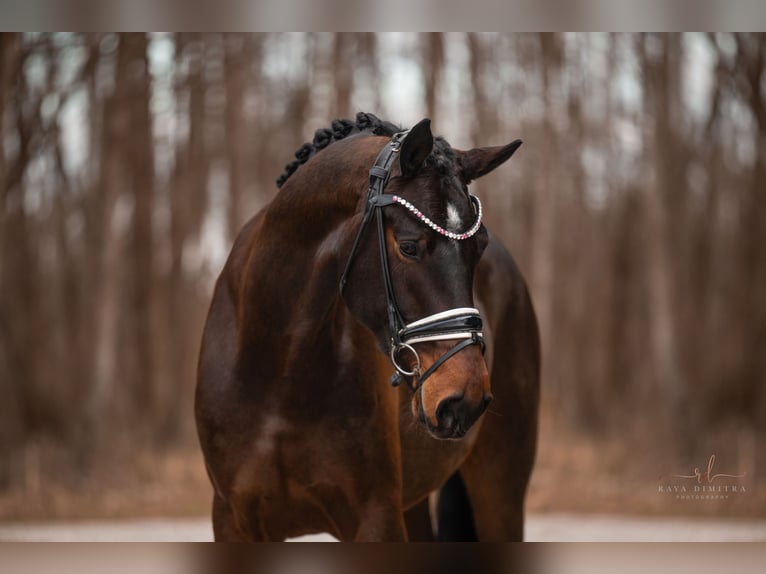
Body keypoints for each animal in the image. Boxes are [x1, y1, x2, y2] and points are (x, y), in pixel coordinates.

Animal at [194, 113, 540, 544]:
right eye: (408, 246)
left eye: (480, 247)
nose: (467, 398)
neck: (279, 369)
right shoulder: (232, 519)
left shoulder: (376, 518)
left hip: (499, 488)